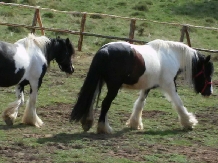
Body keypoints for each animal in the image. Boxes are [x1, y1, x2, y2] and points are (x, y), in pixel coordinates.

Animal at [70, 39, 214, 134]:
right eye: (207, 72)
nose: (209, 92)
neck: (171, 56)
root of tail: (104, 50)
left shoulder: (147, 86)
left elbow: (140, 103)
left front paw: (134, 124)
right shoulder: (169, 85)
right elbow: (178, 103)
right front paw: (189, 123)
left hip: (99, 81)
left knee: (91, 99)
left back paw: (88, 122)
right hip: (113, 87)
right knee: (105, 103)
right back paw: (104, 128)